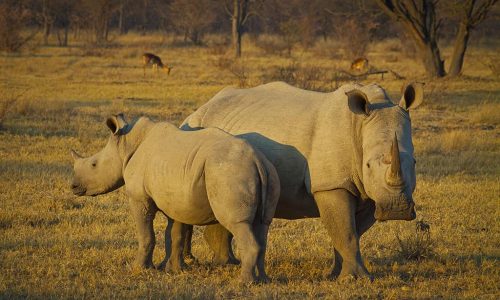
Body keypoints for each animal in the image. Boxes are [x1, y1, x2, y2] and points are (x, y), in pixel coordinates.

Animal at [69, 113, 282, 282]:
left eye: (94, 165)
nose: (73, 186)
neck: (127, 144)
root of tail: (257, 160)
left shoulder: (139, 198)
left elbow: (146, 234)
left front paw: (139, 268)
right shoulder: (177, 198)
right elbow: (175, 234)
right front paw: (173, 269)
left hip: (229, 173)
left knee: (237, 223)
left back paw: (244, 282)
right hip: (267, 173)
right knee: (262, 224)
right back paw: (263, 280)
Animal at [178, 81, 424, 278]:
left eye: (414, 162)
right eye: (369, 165)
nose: (396, 209)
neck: (360, 125)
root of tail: (202, 107)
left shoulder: (371, 194)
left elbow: (350, 233)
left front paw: (336, 275)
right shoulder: (331, 185)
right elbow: (346, 233)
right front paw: (356, 278)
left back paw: (228, 264)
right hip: (195, 131)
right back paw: (194, 264)